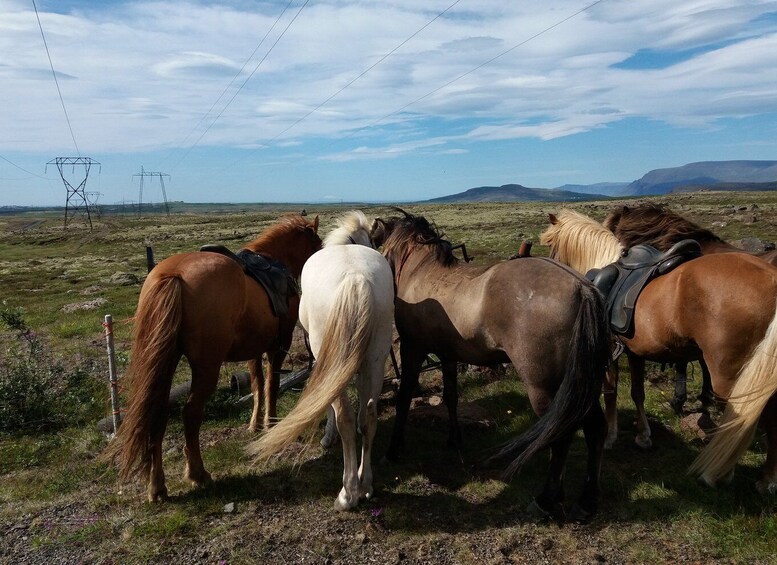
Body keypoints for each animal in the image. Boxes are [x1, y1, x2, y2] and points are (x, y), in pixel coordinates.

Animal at [104, 214, 320, 500]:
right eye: (318, 244)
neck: (276, 261)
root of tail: (173, 275)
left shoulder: (254, 348)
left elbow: (257, 384)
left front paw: (255, 424)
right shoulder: (279, 344)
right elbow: (271, 384)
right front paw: (271, 423)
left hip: (166, 363)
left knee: (158, 414)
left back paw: (157, 486)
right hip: (207, 366)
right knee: (190, 414)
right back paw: (198, 474)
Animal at [249, 209, 394, 508]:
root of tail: (356, 279)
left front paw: (328, 437)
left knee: (345, 417)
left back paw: (348, 493)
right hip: (376, 357)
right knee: (369, 415)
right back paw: (366, 485)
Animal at [372, 209, 612, 524]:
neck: (421, 273)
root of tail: (582, 288)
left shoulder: (413, 349)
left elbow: (403, 399)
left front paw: (393, 450)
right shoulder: (448, 355)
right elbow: (451, 396)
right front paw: (454, 439)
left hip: (547, 388)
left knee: (560, 435)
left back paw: (546, 500)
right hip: (581, 384)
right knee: (595, 429)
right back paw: (587, 502)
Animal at [540, 209, 776, 492]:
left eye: (551, 245)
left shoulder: (609, 351)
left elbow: (611, 392)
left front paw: (610, 436)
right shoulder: (634, 352)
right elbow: (637, 393)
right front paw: (643, 436)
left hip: (733, 375)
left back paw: (726, 473)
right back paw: (767, 478)